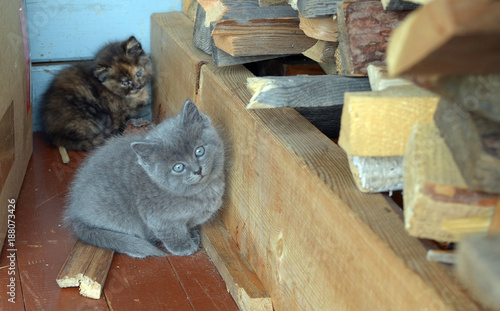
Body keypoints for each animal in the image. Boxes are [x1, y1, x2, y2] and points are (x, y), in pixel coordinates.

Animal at [64, 100, 227, 258]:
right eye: (178, 167)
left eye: (199, 151)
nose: (197, 170)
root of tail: (75, 214)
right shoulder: (159, 218)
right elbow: (172, 232)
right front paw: (183, 247)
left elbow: (190, 225)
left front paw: (193, 236)